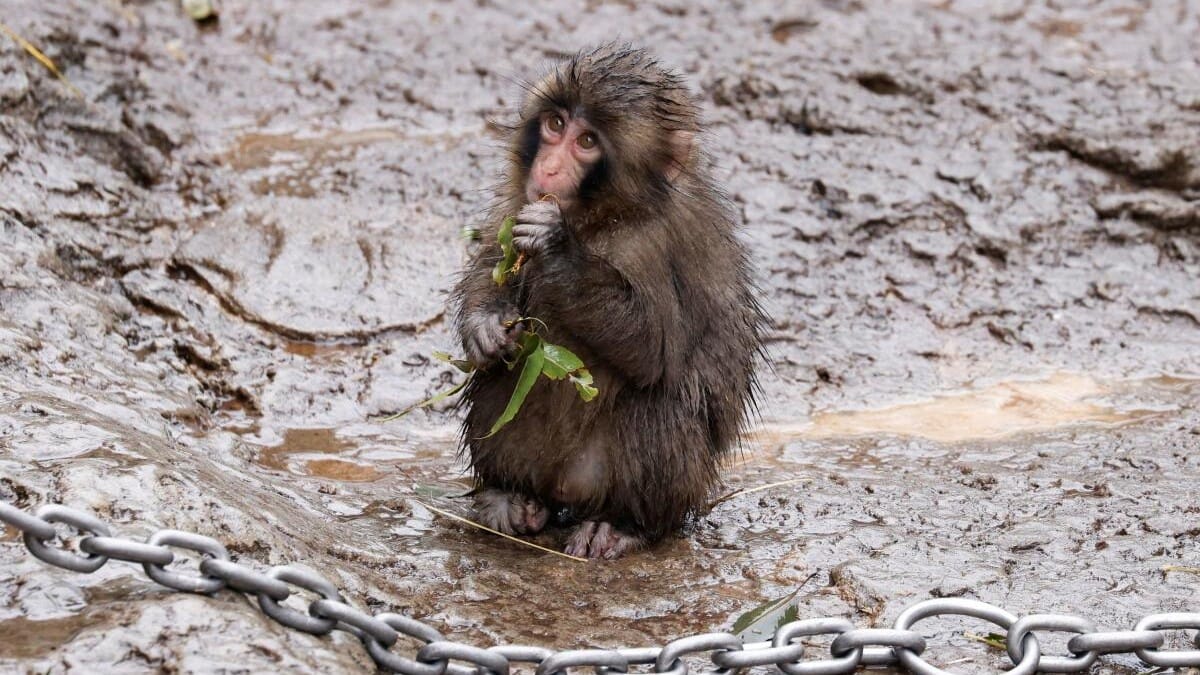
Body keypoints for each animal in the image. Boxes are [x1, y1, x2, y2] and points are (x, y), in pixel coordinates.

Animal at [452, 44, 763, 559]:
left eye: (586, 142)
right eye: (555, 124)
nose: (548, 169)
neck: (602, 217)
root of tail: (565, 492)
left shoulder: (652, 244)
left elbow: (654, 349)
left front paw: (557, 249)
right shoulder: (518, 200)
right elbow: (494, 262)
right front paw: (485, 327)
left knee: (658, 407)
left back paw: (623, 524)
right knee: (506, 374)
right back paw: (509, 496)